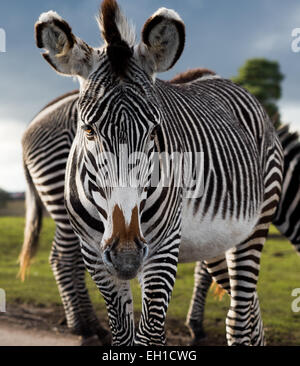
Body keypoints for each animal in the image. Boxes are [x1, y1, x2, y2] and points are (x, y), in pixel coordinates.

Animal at [24, 0, 282, 346]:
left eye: (153, 131)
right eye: (88, 129)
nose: (127, 256)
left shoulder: (163, 249)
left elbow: (149, 337)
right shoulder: (95, 253)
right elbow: (123, 336)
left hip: (254, 225)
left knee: (241, 316)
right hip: (218, 241)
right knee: (246, 311)